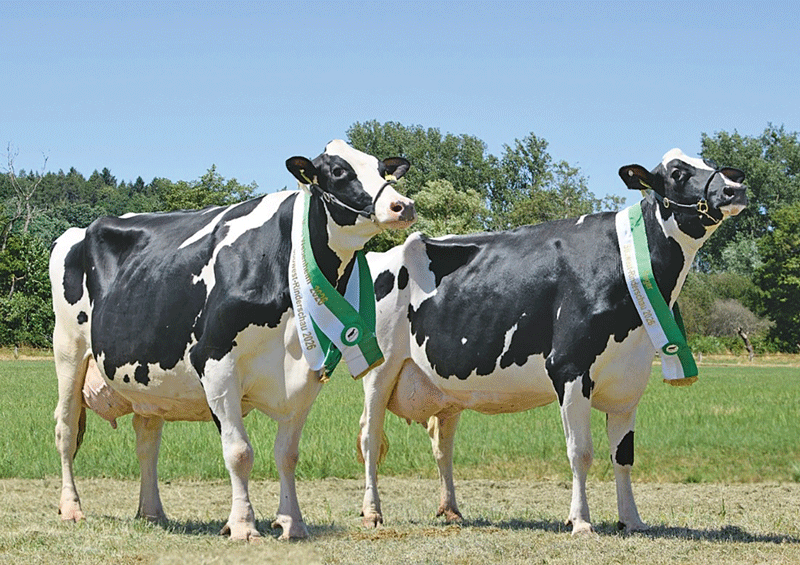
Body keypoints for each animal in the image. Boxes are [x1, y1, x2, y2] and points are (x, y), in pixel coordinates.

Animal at [49, 140, 416, 541]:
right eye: (338, 171)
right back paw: (71, 508)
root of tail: (79, 230)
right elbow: (239, 452)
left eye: (382, 169)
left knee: (146, 440)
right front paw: (242, 525)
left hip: (147, 378)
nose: (402, 205)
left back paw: (152, 512)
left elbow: (287, 454)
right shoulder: (215, 363)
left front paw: (292, 522)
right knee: (66, 428)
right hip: (68, 350)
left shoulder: (306, 375)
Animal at [357, 149, 747, 535]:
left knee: (443, 444)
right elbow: (580, 452)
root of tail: (385, 254)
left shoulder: (629, 381)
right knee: (370, 438)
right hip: (379, 370)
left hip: (446, 387)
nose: (734, 189)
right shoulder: (569, 367)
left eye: (714, 166)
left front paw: (632, 519)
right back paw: (372, 512)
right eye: (679, 173)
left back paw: (451, 510)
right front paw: (581, 521)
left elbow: (623, 457)